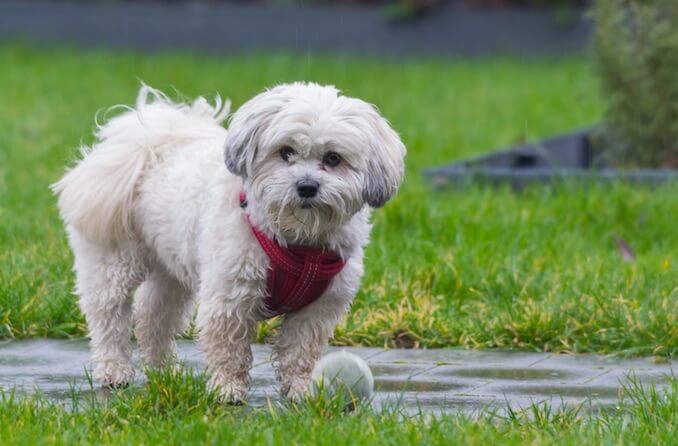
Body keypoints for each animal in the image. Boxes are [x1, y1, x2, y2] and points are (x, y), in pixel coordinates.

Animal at [53, 82, 406, 402]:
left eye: (333, 158)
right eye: (286, 152)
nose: (307, 186)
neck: (299, 242)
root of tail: (151, 144)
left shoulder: (319, 307)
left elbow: (300, 351)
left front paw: (301, 389)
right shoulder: (230, 294)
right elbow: (229, 348)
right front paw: (227, 389)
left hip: (172, 268)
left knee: (154, 316)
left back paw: (165, 373)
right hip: (113, 259)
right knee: (108, 316)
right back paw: (114, 371)